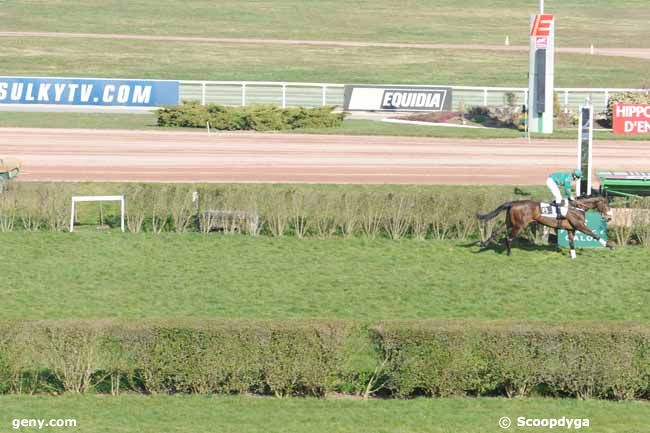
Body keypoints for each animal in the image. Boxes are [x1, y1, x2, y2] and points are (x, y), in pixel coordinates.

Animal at [474, 195, 612, 256]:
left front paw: (573, 256)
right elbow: (593, 235)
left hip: (510, 223)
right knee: (508, 238)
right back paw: (509, 253)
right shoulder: (580, 226)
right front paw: (610, 245)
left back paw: (484, 244)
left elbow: (572, 242)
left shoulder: (570, 229)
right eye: (606, 205)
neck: (577, 207)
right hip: (519, 225)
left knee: (496, 231)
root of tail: (513, 203)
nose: (609, 218)